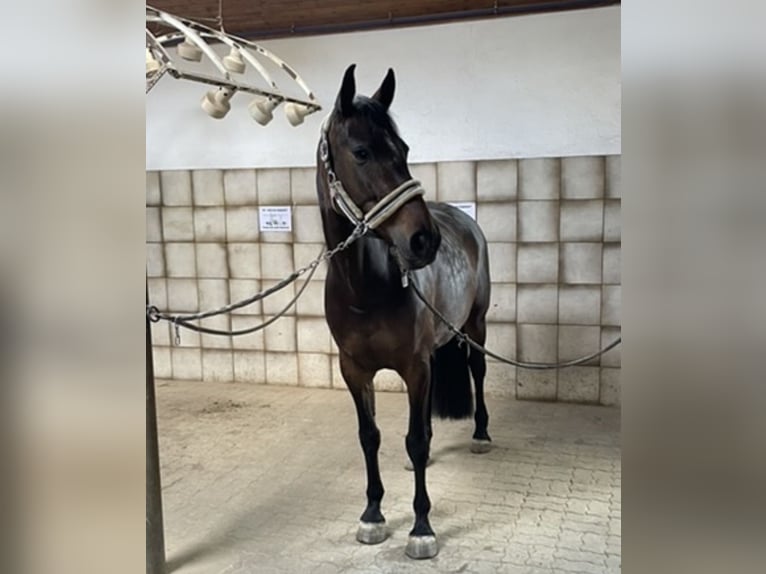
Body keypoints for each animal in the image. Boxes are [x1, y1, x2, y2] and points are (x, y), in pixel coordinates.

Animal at [316, 64, 492, 560]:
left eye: (405, 150)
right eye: (361, 152)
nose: (423, 241)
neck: (364, 288)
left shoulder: (414, 366)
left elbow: (414, 440)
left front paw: (421, 527)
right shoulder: (355, 369)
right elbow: (370, 436)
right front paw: (373, 514)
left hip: (475, 327)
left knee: (477, 370)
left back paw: (482, 435)